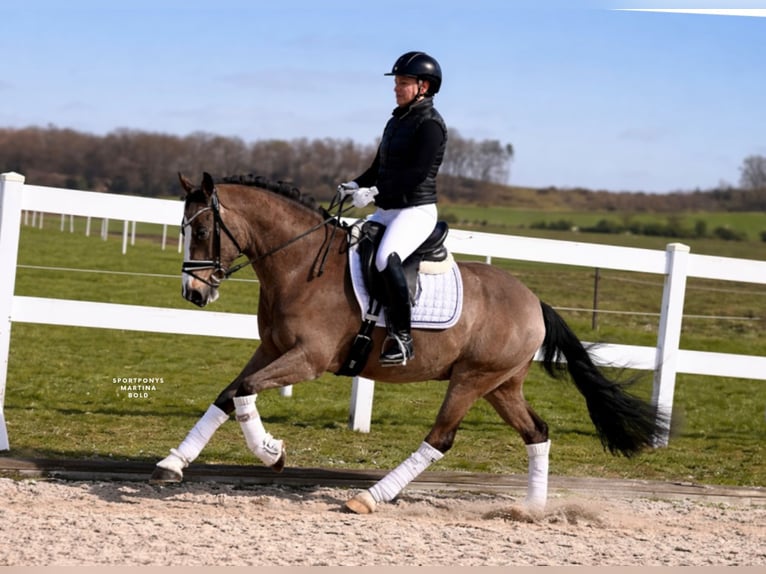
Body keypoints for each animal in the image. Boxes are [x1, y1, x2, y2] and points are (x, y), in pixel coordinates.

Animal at [150, 171, 667, 515]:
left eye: (201, 230)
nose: (194, 294)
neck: (299, 265)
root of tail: (533, 301)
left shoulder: (308, 359)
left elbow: (244, 392)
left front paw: (272, 453)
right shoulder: (272, 350)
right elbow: (229, 394)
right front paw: (173, 463)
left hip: (471, 381)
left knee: (440, 438)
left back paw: (370, 497)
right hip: (501, 385)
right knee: (536, 432)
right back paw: (532, 510)